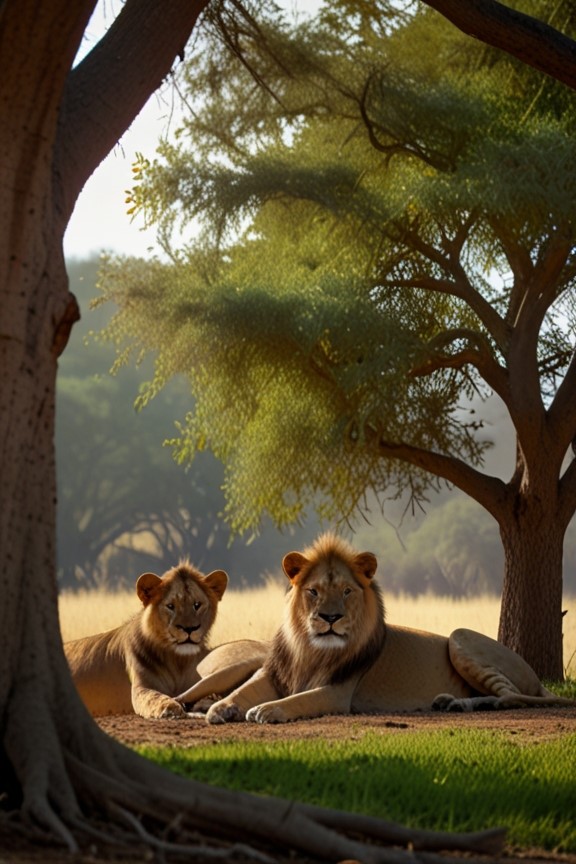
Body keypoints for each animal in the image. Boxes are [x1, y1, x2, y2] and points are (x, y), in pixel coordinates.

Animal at [64, 556, 230, 720]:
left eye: (197, 605)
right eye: (170, 606)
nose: (189, 628)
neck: (178, 662)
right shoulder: (141, 687)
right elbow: (154, 697)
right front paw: (170, 708)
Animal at [177, 532, 576, 724]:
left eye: (346, 591)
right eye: (313, 591)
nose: (330, 618)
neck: (310, 648)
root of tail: (535, 676)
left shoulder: (337, 692)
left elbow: (297, 700)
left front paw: (267, 711)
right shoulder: (272, 675)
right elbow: (241, 691)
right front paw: (219, 708)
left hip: (460, 637)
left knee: (511, 696)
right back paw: (451, 703)